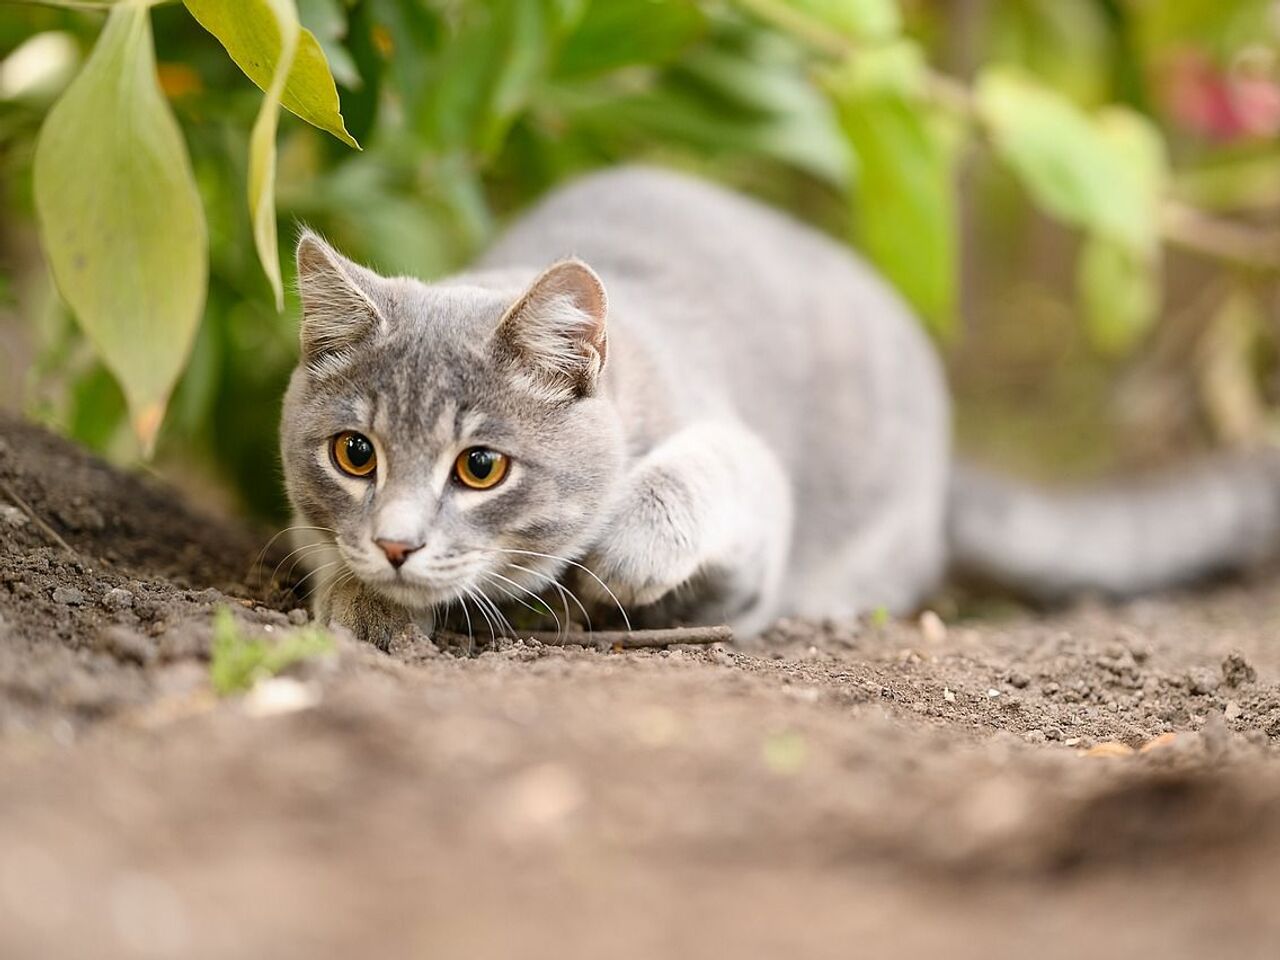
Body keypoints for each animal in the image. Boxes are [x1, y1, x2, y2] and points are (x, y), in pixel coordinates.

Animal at [280, 165, 1280, 650]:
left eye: (480, 466)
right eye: (356, 454)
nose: (397, 544)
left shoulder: (743, 479)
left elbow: (703, 476)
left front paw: (623, 558)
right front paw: (362, 600)